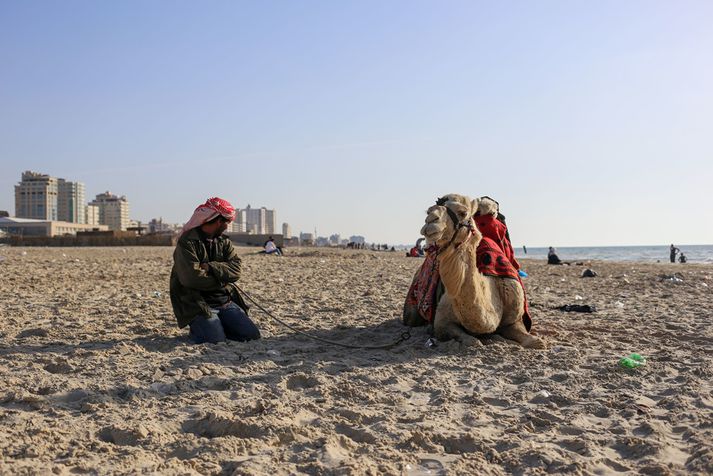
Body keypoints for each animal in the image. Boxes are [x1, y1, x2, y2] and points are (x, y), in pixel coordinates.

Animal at [400, 194, 544, 350]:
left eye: (463, 213)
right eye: (428, 211)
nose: (430, 220)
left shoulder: (515, 317)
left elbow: (534, 341)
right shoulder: (442, 322)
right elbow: (471, 340)